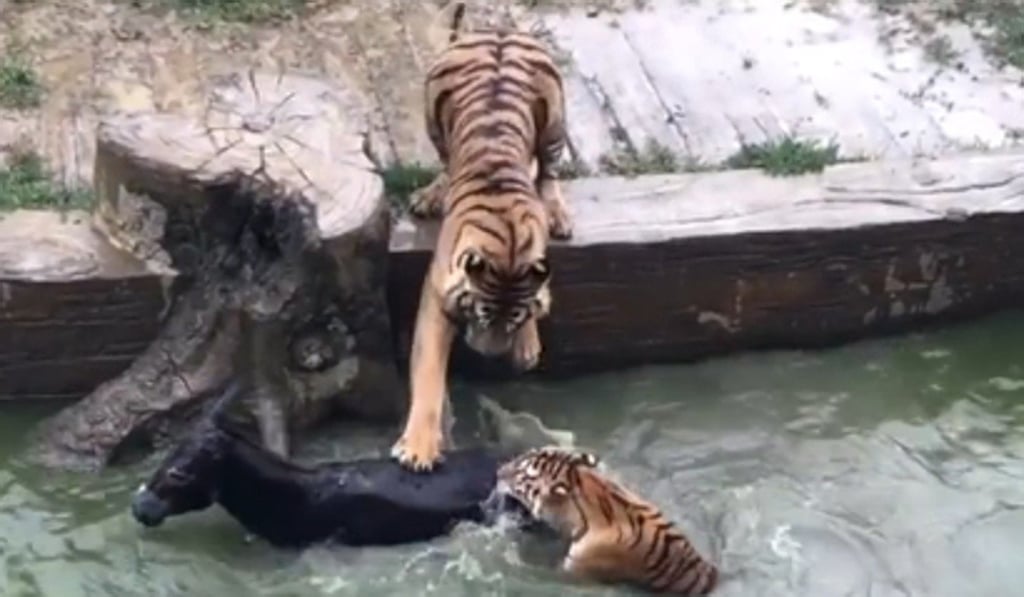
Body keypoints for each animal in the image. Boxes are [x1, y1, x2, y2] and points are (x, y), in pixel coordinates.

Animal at [391, 2, 573, 471]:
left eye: (513, 320)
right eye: (481, 316)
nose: (491, 357)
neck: (508, 246)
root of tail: (496, 29)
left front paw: (528, 345)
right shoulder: (437, 297)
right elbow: (430, 374)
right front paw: (419, 448)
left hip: (554, 117)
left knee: (549, 171)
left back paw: (557, 210)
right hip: (433, 107)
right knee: (444, 160)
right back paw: (431, 194)